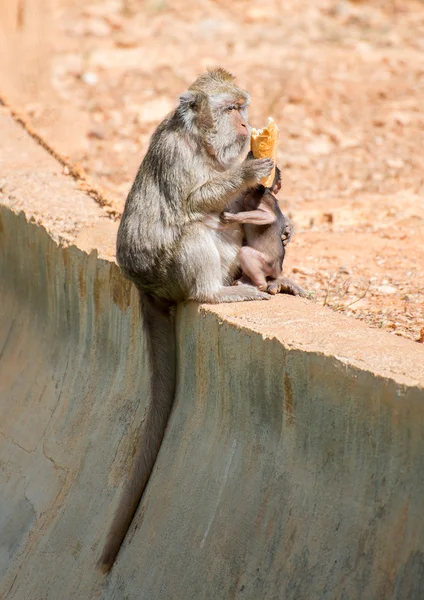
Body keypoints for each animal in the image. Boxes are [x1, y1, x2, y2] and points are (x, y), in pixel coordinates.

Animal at [97, 68, 274, 576]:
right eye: (231, 109)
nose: (245, 126)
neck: (201, 142)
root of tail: (145, 286)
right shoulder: (176, 154)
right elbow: (196, 200)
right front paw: (250, 169)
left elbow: (233, 209)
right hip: (168, 271)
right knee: (196, 228)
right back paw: (214, 292)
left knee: (225, 227)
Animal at [222, 165, 304, 296]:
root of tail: (278, 270)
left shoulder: (257, 197)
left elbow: (269, 216)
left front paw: (231, 217)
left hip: (268, 264)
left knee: (245, 252)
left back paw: (258, 286)